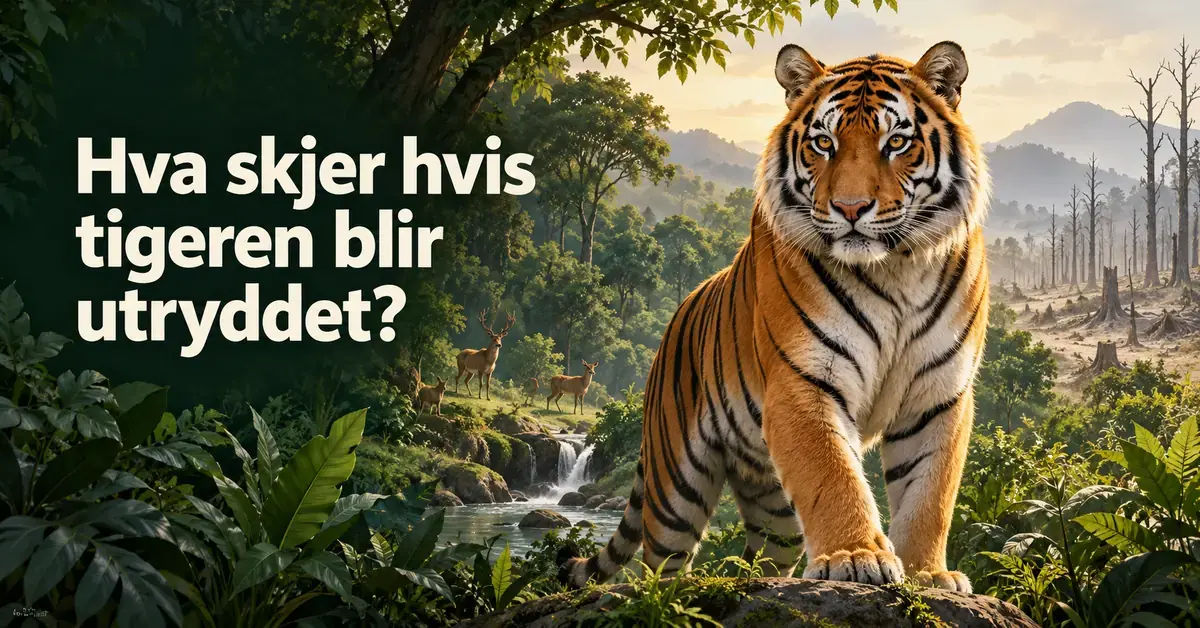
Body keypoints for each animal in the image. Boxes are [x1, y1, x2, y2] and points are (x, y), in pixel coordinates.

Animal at [559, 42, 989, 593]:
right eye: (824, 142)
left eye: (896, 142)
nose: (851, 208)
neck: (895, 268)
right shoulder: (805, 380)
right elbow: (833, 475)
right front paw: (856, 556)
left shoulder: (938, 395)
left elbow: (929, 495)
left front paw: (928, 574)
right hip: (675, 489)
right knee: (659, 566)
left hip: (774, 510)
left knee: (763, 556)